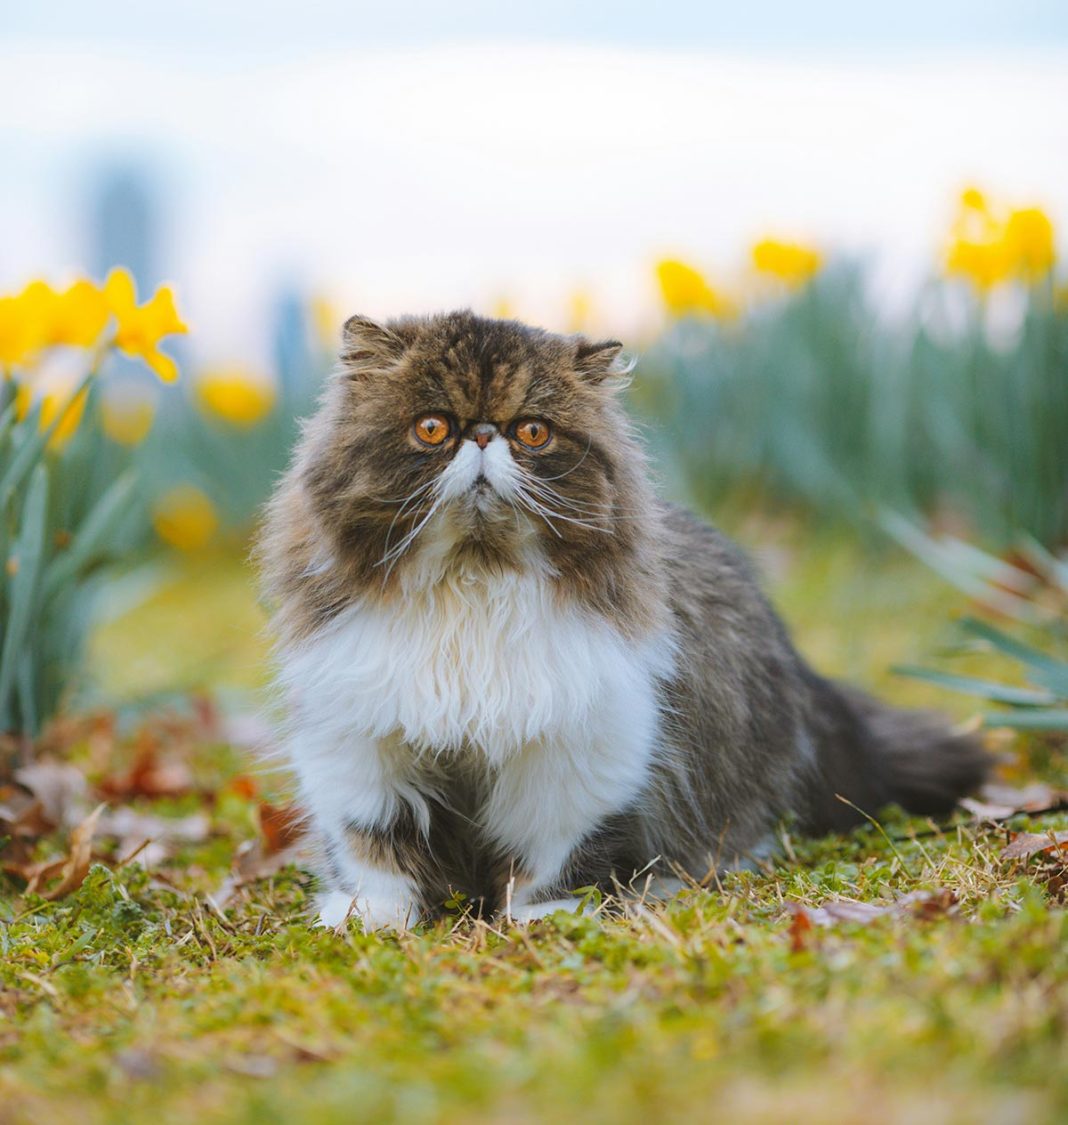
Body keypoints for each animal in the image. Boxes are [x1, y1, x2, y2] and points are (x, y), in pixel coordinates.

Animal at [254, 310, 985, 931]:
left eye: (533, 432)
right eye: (433, 428)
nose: (485, 435)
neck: (474, 583)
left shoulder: (576, 756)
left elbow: (550, 859)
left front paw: (542, 918)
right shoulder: (361, 750)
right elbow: (374, 856)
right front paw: (367, 922)